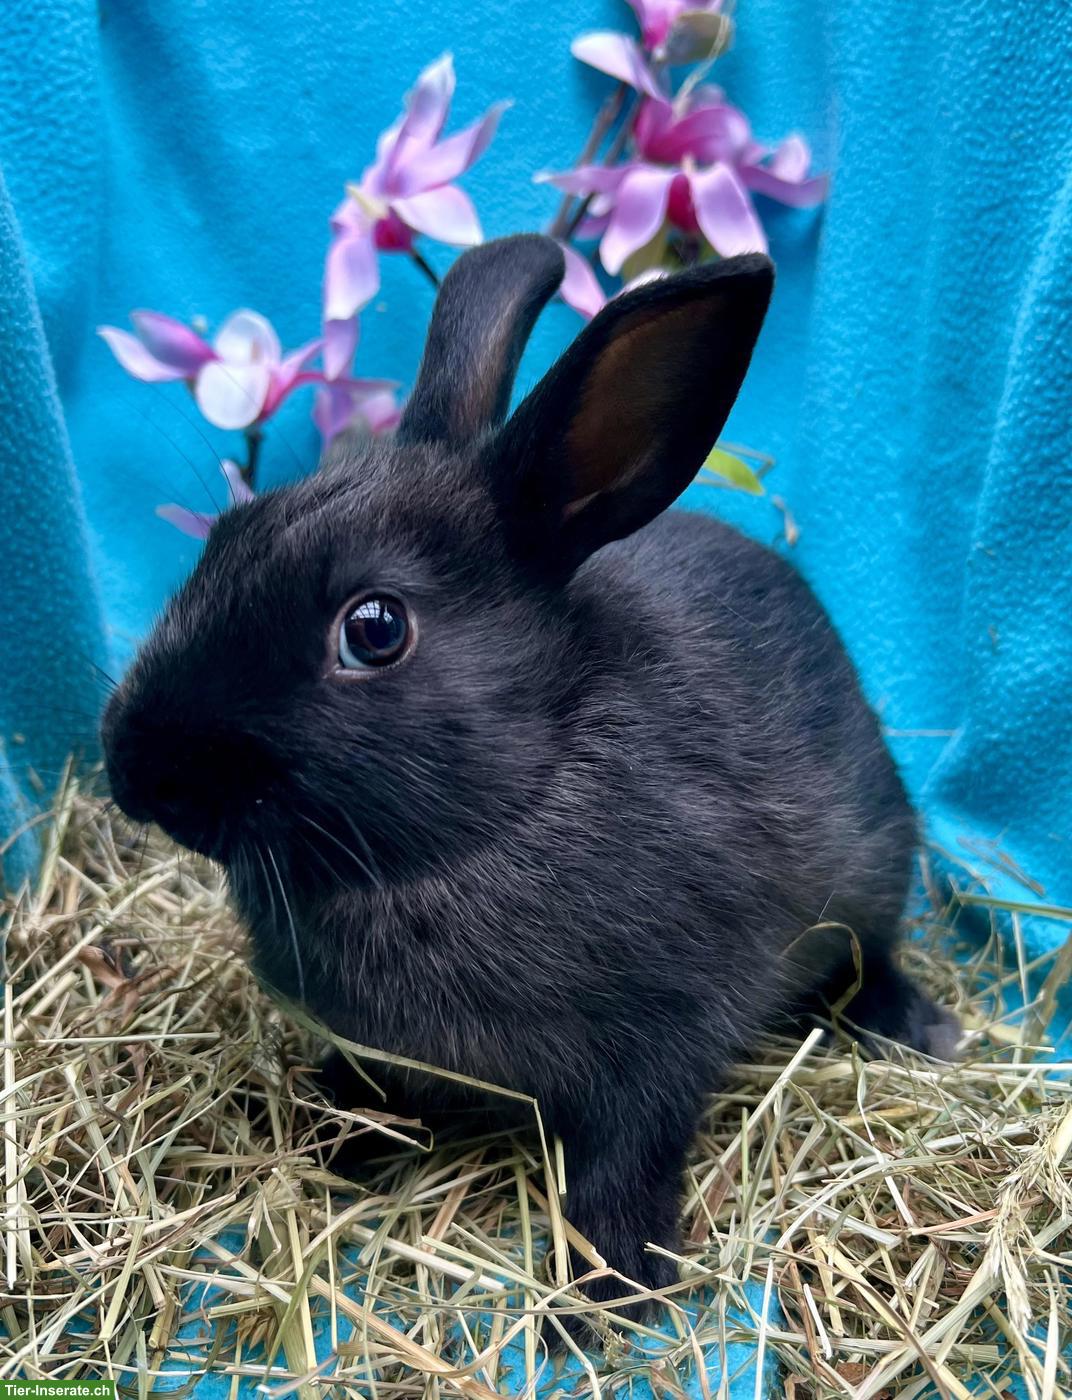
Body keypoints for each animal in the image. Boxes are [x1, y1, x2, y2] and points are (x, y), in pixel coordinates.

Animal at [101, 234, 958, 1335]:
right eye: (223, 537)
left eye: (373, 628)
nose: (134, 768)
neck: (497, 815)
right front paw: (323, 1130)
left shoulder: (661, 1043)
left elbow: (626, 1158)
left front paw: (605, 1291)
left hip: (871, 870)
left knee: (869, 950)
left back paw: (916, 1024)